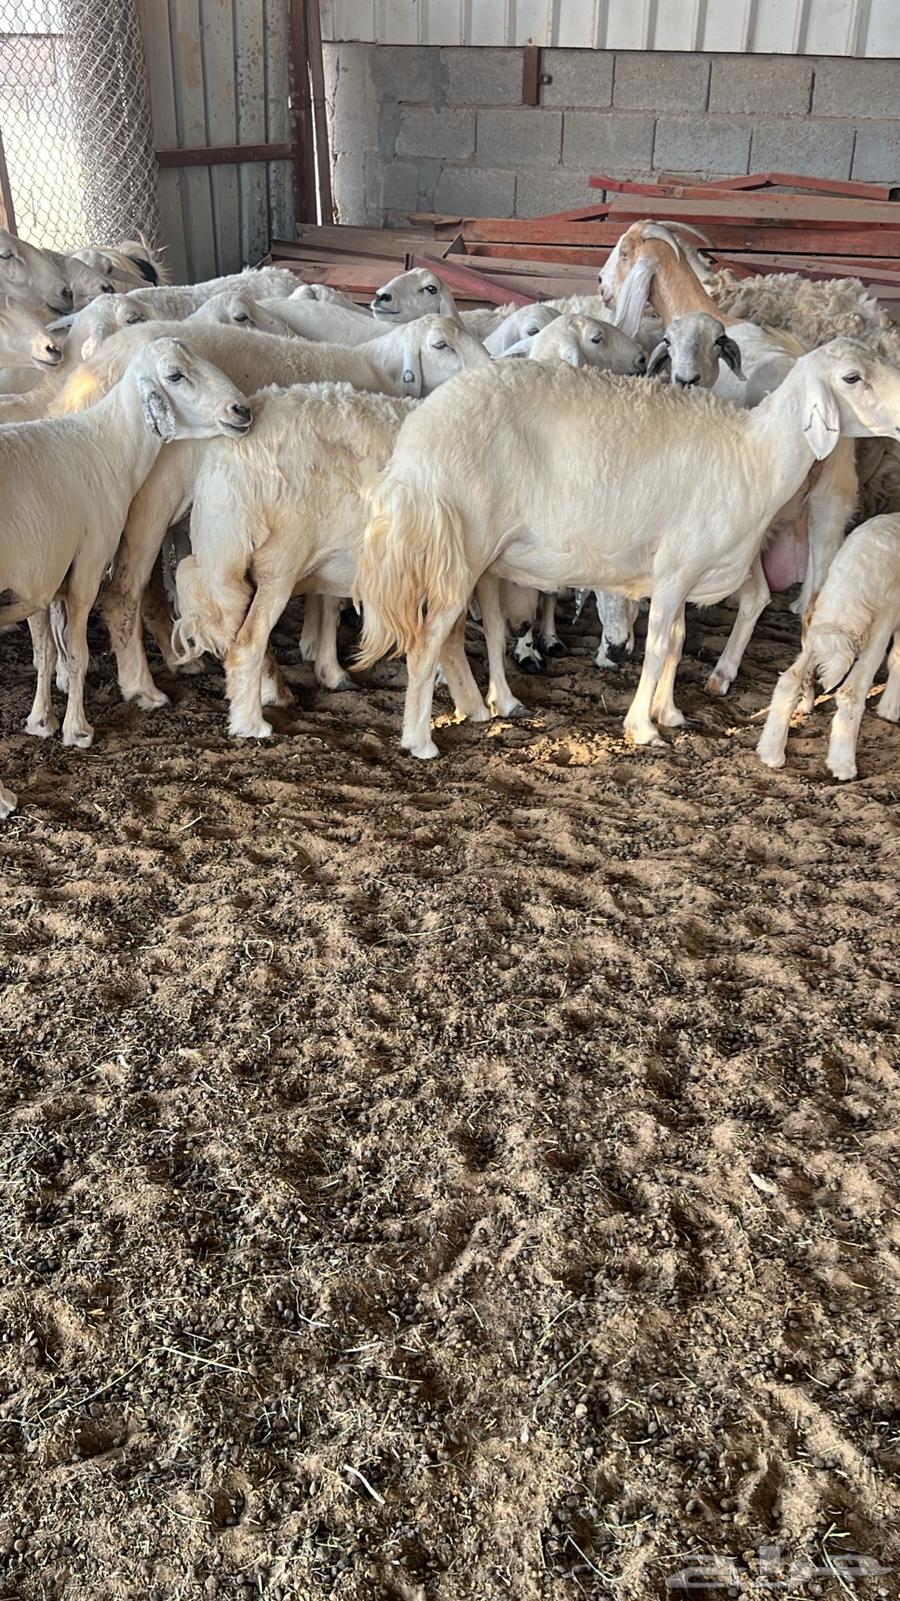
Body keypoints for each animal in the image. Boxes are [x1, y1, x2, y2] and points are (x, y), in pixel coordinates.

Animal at [0, 337, 250, 812]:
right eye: (175, 375)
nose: (242, 410)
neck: (106, 446)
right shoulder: (87, 565)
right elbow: (76, 653)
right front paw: (77, 730)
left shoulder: (40, 579)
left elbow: (45, 651)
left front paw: (41, 721)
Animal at [95, 317, 490, 708]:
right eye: (440, 345)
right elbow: (332, 600)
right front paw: (330, 663)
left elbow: (326, 595)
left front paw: (318, 654)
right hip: (153, 502)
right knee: (124, 594)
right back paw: (145, 687)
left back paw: (191, 663)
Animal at [757, 513, 900, 780]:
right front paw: (890, 710)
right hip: (878, 624)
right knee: (851, 690)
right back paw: (843, 766)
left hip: (818, 626)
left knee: (790, 678)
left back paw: (771, 752)